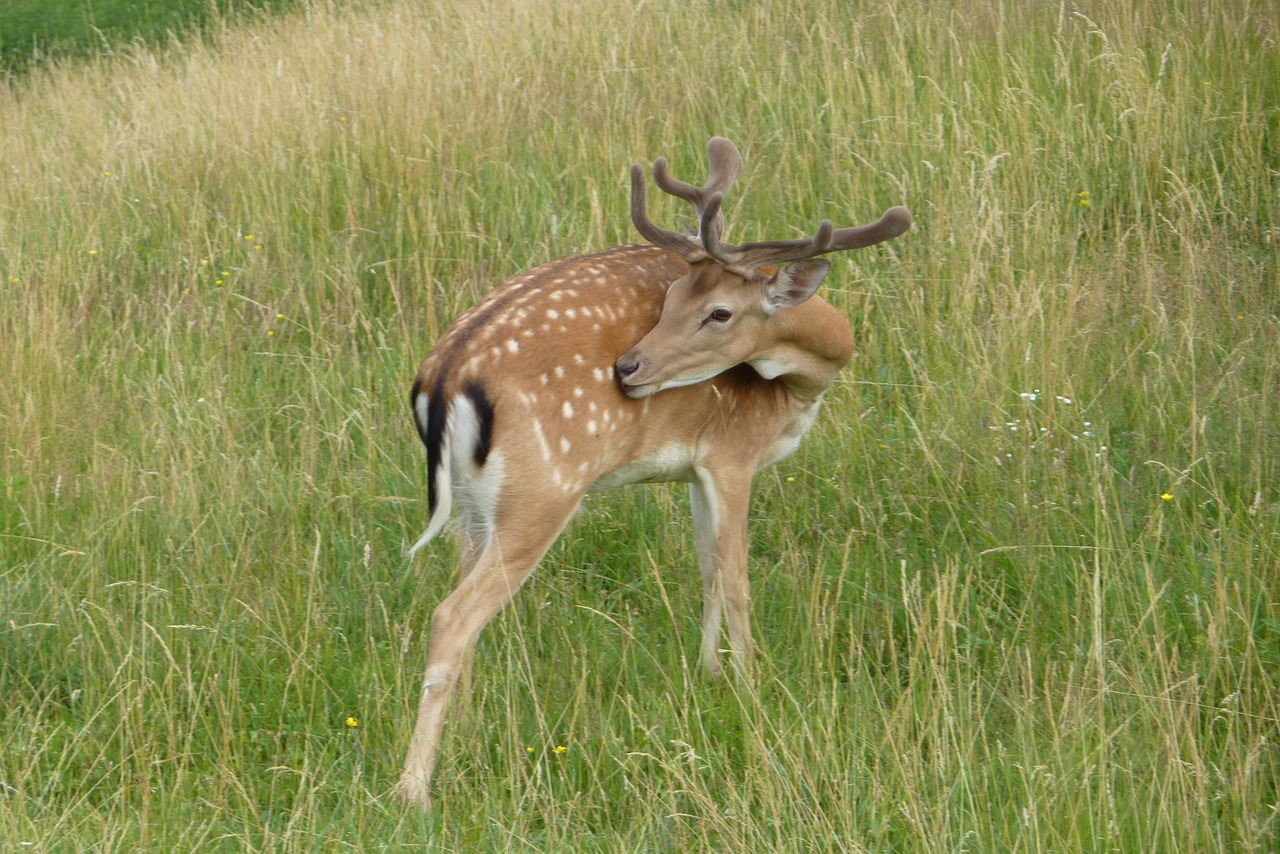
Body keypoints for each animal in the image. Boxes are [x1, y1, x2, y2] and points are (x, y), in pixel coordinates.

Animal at [399, 138, 911, 809]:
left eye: (716, 311)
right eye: (671, 300)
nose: (628, 367)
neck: (804, 384)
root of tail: (444, 378)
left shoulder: (693, 467)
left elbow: (707, 569)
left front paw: (708, 673)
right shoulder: (733, 453)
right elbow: (737, 575)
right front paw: (751, 686)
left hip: (472, 505)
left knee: (463, 600)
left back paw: (467, 727)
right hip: (542, 492)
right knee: (452, 615)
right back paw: (414, 789)